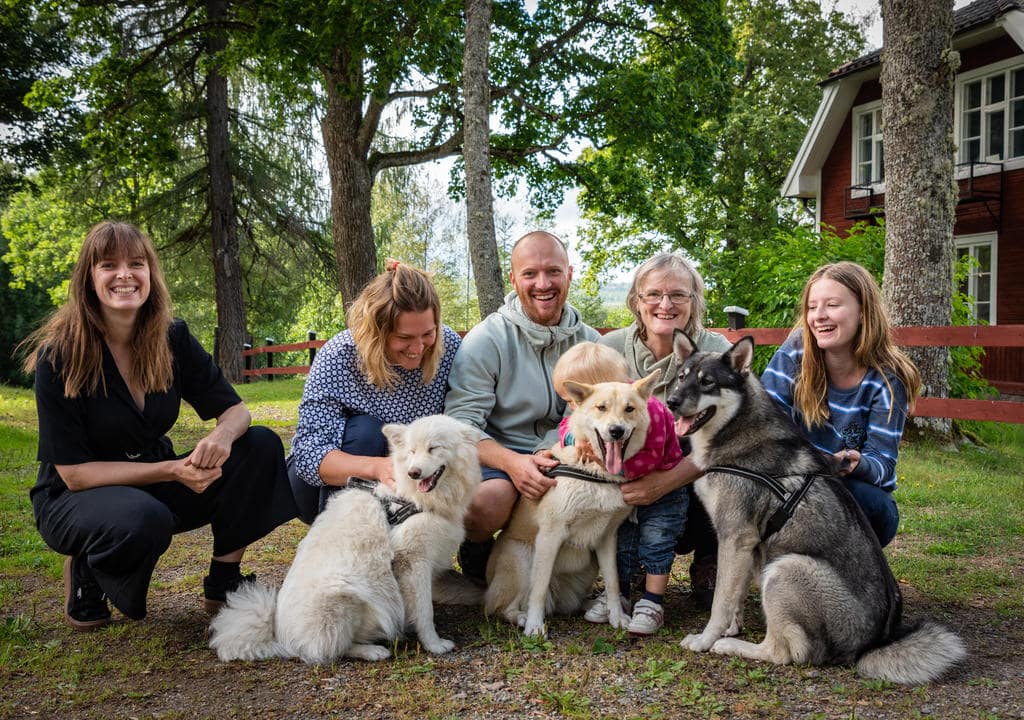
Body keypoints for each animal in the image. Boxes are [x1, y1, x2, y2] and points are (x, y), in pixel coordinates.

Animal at [209, 417, 481, 663]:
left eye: (434, 448)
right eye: (412, 451)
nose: (413, 473)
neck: (414, 500)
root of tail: (279, 636)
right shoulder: (414, 561)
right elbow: (425, 611)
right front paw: (434, 644)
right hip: (346, 595)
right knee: (331, 649)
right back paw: (373, 651)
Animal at [483, 372, 659, 634]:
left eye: (629, 409)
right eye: (601, 407)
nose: (616, 431)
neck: (597, 473)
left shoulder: (608, 538)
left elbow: (614, 582)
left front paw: (616, 616)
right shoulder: (550, 535)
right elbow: (539, 588)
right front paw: (534, 625)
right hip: (521, 558)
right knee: (502, 608)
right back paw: (522, 617)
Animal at [667, 331, 962, 680]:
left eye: (707, 382)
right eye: (682, 377)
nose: (671, 402)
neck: (736, 429)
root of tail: (870, 645)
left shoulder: (735, 537)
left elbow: (720, 602)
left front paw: (707, 639)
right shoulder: (745, 546)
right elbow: (733, 596)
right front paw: (731, 627)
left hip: (784, 569)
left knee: (783, 653)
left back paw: (733, 648)